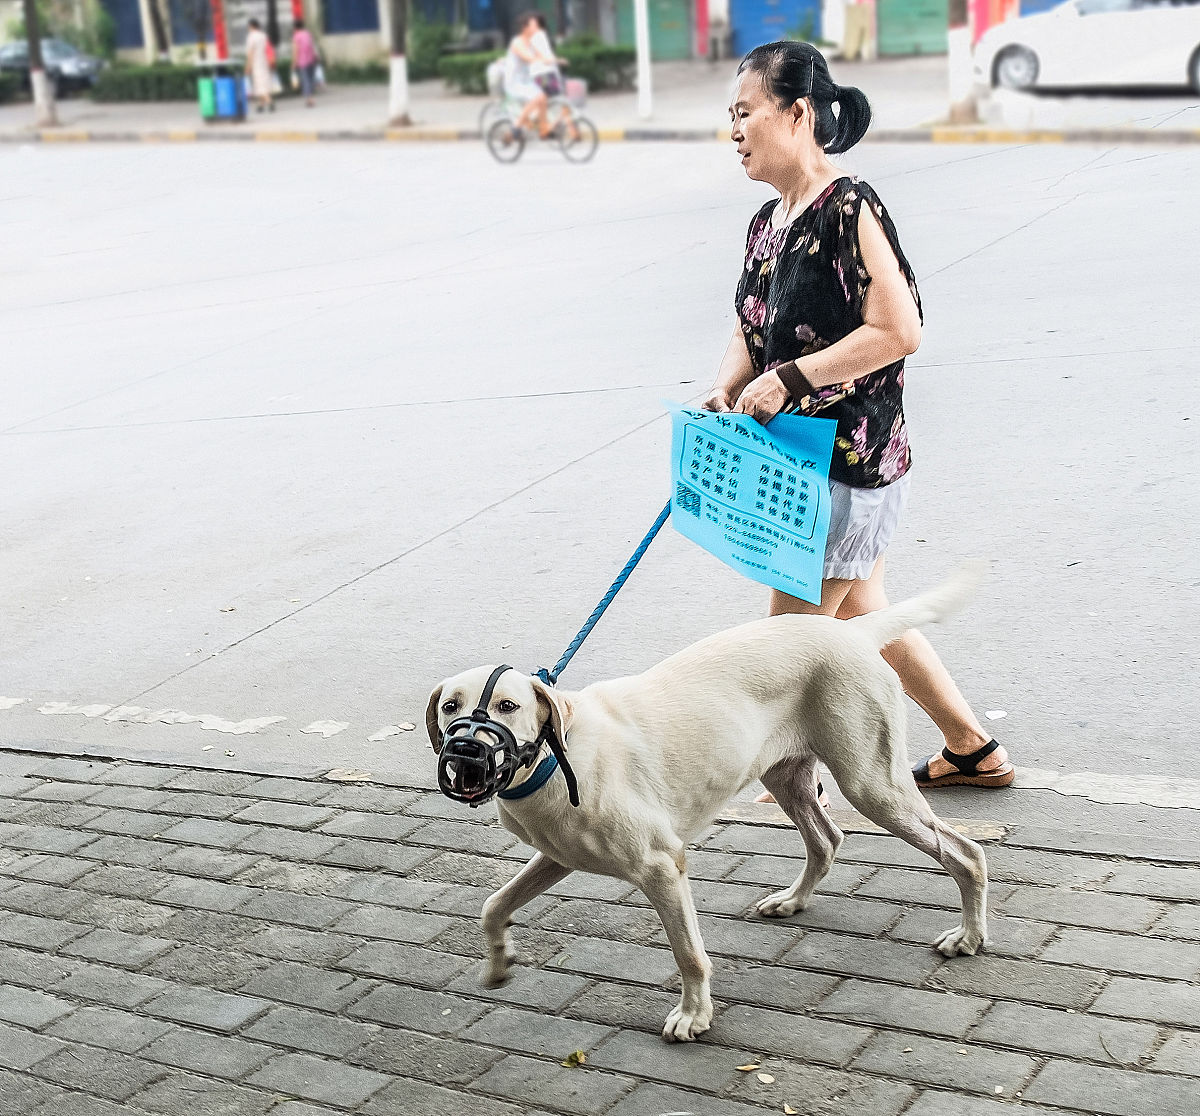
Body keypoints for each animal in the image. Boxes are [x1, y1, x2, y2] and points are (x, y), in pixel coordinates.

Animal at [427, 568, 988, 1041]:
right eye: (450, 708)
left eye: (507, 706)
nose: (467, 752)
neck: (552, 761)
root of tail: (850, 632)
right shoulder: (556, 856)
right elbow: (493, 905)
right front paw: (499, 961)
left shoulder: (662, 867)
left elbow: (689, 955)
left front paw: (694, 1014)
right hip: (785, 775)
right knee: (827, 839)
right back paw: (793, 899)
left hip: (872, 784)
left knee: (966, 853)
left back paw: (968, 936)